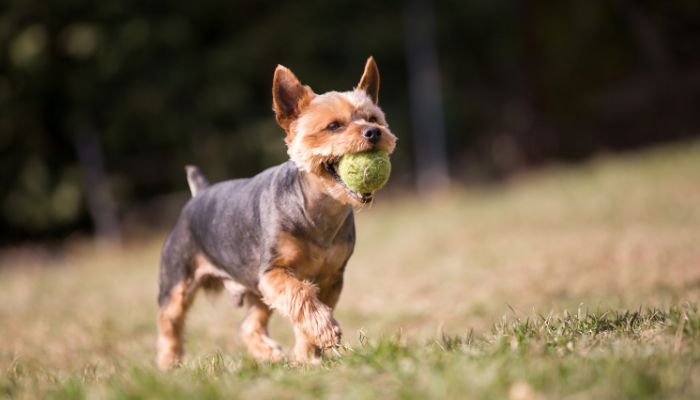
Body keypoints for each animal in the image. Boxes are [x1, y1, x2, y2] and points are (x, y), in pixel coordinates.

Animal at [160, 57, 400, 368]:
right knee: (170, 324)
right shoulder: (273, 272)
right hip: (177, 280)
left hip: (255, 290)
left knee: (248, 325)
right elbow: (301, 295)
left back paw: (268, 353)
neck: (317, 208)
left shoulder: (331, 278)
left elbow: (307, 311)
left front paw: (307, 356)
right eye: (334, 126)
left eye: (373, 119)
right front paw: (324, 332)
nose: (374, 132)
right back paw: (169, 365)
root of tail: (199, 193)